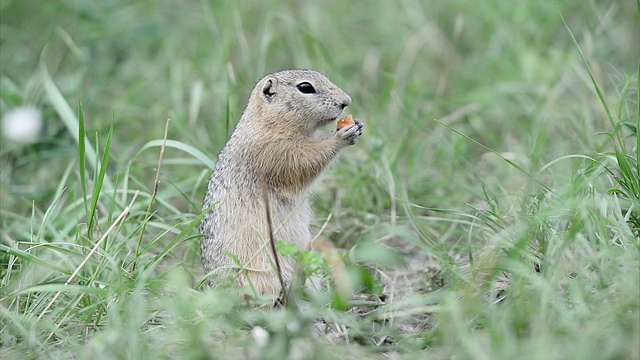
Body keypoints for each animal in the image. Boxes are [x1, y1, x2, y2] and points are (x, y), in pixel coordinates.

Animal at [200, 69, 362, 296]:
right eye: (305, 87)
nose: (346, 101)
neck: (268, 122)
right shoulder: (275, 151)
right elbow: (306, 161)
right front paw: (340, 137)